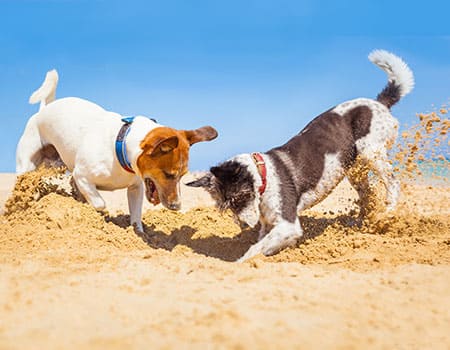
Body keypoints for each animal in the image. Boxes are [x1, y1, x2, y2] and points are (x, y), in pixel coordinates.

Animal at [18, 70, 219, 230]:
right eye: (169, 174)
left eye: (183, 175)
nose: (177, 207)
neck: (121, 148)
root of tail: (43, 110)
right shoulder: (82, 175)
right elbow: (100, 203)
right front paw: (98, 216)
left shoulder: (136, 187)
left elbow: (136, 216)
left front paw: (139, 234)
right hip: (27, 166)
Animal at [187, 50, 414, 262]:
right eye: (224, 205)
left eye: (238, 198)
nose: (242, 225)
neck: (264, 176)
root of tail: (380, 103)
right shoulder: (270, 225)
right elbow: (263, 244)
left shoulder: (288, 225)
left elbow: (254, 249)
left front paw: (239, 263)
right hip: (354, 168)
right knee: (368, 194)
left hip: (371, 152)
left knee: (393, 182)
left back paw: (387, 212)